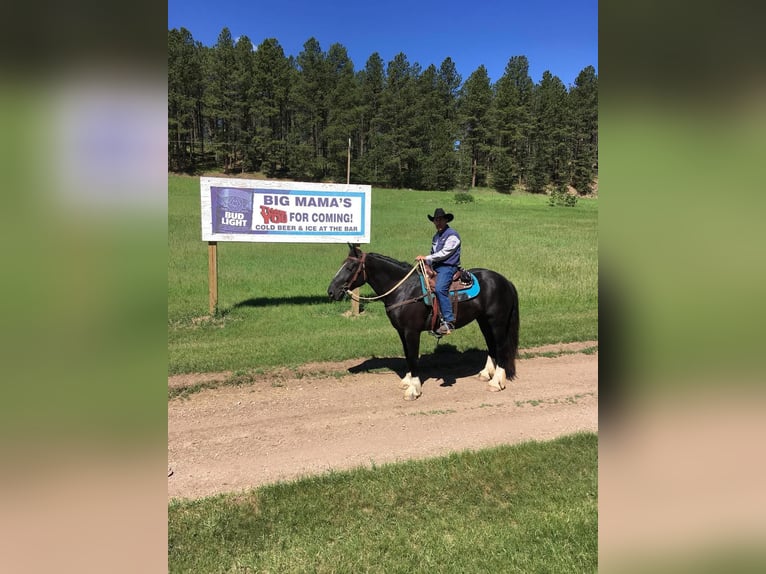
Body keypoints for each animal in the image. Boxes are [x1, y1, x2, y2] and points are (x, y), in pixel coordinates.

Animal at [328, 243, 520, 400]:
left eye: (350, 267)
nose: (331, 291)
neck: (404, 290)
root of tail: (505, 281)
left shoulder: (411, 331)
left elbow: (413, 357)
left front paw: (413, 389)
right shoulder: (401, 331)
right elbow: (407, 355)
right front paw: (407, 381)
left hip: (497, 322)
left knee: (501, 347)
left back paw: (496, 383)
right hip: (483, 321)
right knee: (491, 345)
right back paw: (485, 374)